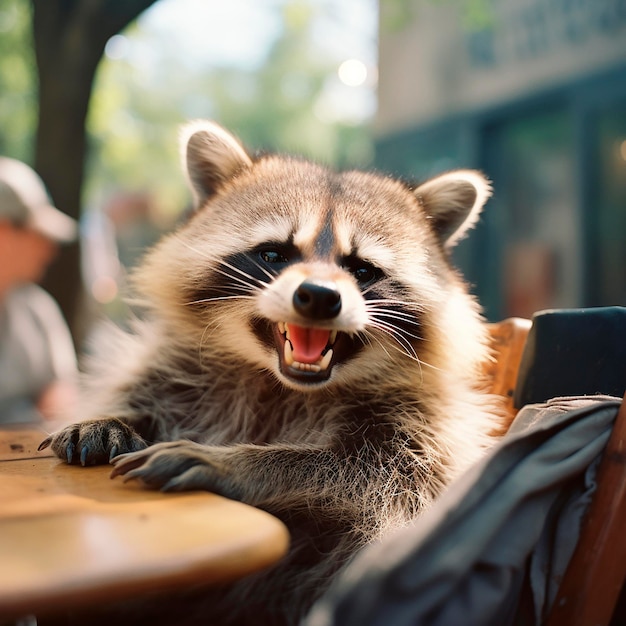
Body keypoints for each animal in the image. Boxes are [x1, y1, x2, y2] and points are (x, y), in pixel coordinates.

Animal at [39, 120, 500, 624]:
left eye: (361, 269)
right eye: (275, 255)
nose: (319, 297)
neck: (280, 383)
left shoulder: (424, 426)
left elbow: (378, 476)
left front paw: (245, 464)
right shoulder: (180, 370)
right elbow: (148, 395)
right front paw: (116, 418)